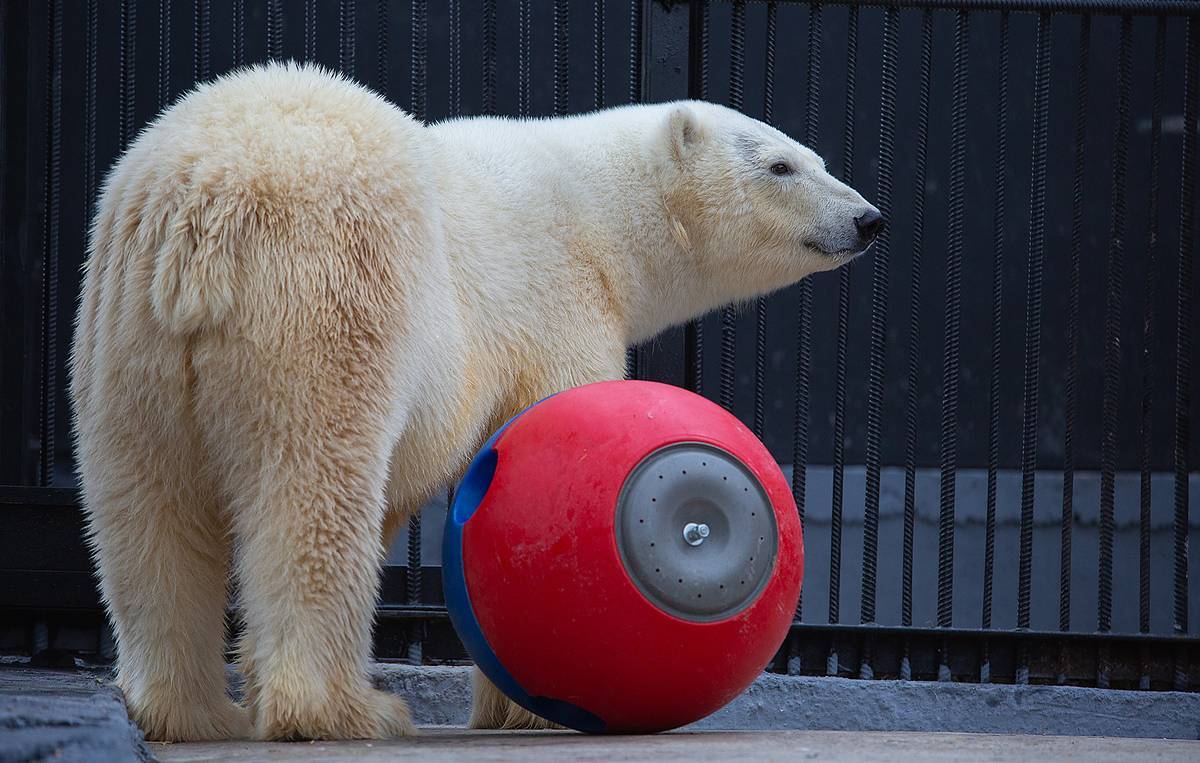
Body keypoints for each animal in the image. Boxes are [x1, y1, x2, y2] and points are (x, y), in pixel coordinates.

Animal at [72, 62, 883, 743]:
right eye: (780, 165)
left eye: (815, 156)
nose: (868, 218)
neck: (601, 210)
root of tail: (205, 202)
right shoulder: (551, 294)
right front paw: (535, 707)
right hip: (325, 294)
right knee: (311, 491)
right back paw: (346, 710)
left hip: (127, 327)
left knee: (144, 513)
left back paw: (191, 712)